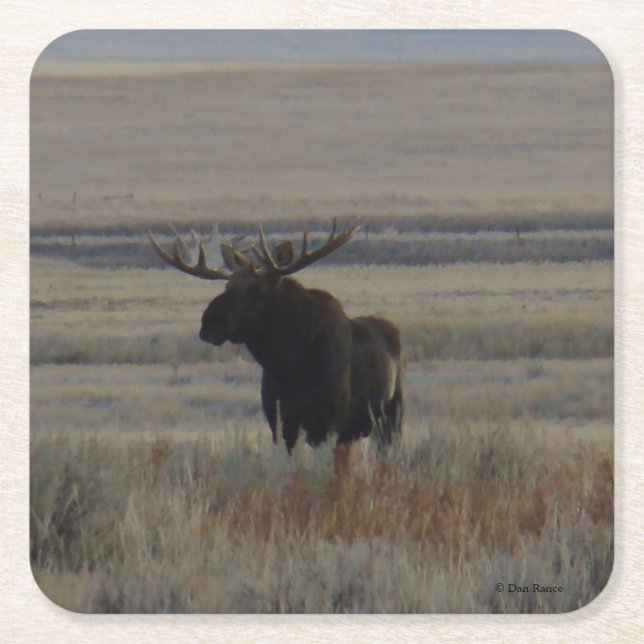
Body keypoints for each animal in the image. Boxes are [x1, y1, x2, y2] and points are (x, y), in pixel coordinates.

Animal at [149, 220, 403, 459]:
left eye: (254, 289)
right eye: (227, 285)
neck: (287, 365)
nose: (208, 323)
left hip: (391, 414)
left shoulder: (328, 420)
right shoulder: (279, 421)